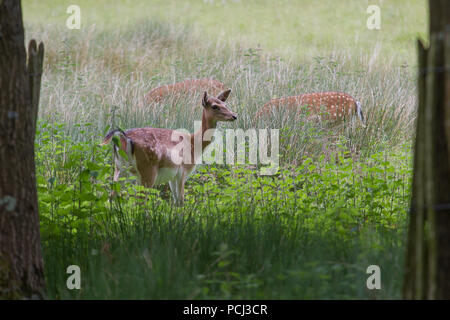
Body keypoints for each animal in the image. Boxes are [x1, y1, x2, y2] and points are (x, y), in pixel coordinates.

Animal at [100, 89, 237, 206]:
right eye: (215, 106)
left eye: (225, 104)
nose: (234, 116)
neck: (194, 145)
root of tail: (123, 137)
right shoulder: (183, 171)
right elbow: (181, 201)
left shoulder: (172, 177)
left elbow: (175, 202)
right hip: (147, 169)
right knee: (140, 200)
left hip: (119, 168)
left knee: (111, 196)